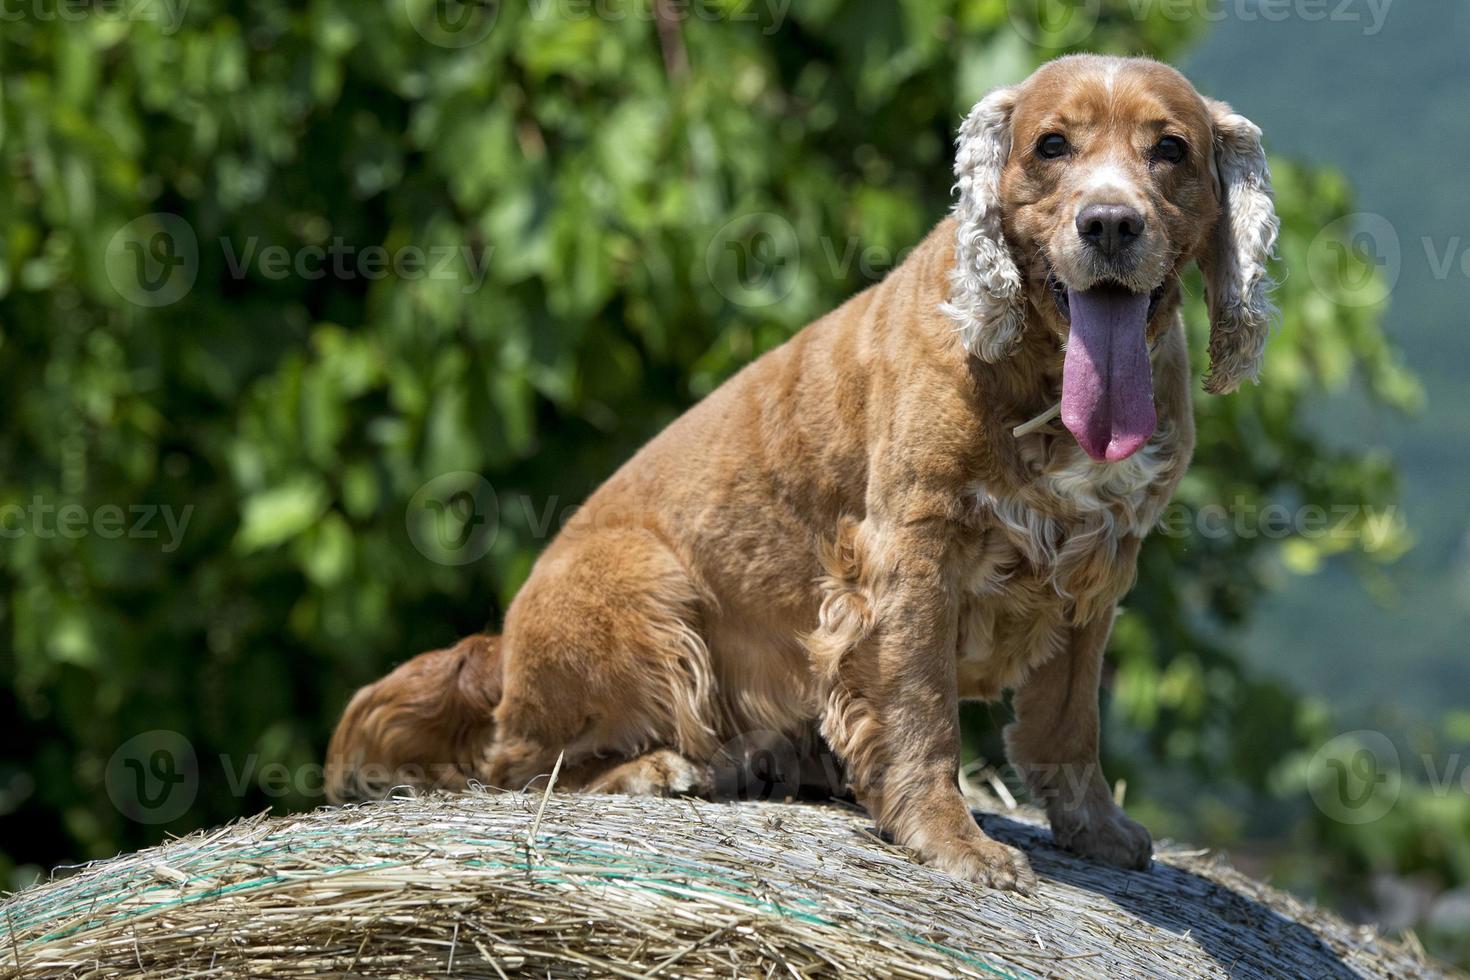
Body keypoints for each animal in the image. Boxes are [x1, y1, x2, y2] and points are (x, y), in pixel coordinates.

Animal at [324, 55, 1275, 899]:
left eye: (1170, 149)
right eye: (1051, 146)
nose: (1110, 223)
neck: (1039, 374)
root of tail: (500, 654)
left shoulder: (1100, 565)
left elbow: (1070, 722)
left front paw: (1095, 830)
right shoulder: (908, 554)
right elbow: (921, 710)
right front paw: (953, 843)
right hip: (648, 591)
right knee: (514, 762)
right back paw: (658, 771)